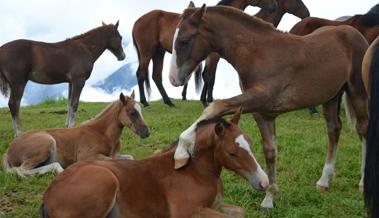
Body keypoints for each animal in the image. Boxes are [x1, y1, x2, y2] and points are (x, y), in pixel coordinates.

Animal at [2, 92, 150, 177]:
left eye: (141, 111)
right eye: (132, 112)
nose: (146, 132)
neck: (101, 133)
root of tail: (9, 151)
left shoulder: (113, 154)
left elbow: (130, 158)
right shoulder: (87, 156)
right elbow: (113, 162)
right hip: (47, 143)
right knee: (22, 170)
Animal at [40, 110, 268, 218]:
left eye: (251, 143)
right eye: (232, 153)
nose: (264, 182)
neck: (195, 171)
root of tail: (47, 195)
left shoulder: (215, 205)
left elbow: (241, 212)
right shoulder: (186, 212)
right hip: (105, 181)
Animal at [132, 0, 278, 107]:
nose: (274, 5)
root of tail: (137, 22)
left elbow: (208, 77)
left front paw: (207, 98)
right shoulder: (213, 56)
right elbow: (209, 76)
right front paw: (206, 100)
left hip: (158, 53)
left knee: (156, 76)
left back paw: (168, 102)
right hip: (147, 52)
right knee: (141, 74)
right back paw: (145, 102)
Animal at [170, 4, 372, 209]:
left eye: (185, 40)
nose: (174, 79)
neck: (259, 54)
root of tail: (352, 31)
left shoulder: (260, 98)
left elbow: (215, 107)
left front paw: (181, 151)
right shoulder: (262, 113)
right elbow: (270, 152)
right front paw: (269, 198)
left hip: (358, 92)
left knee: (363, 129)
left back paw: (363, 183)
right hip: (330, 97)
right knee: (333, 129)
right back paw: (324, 181)